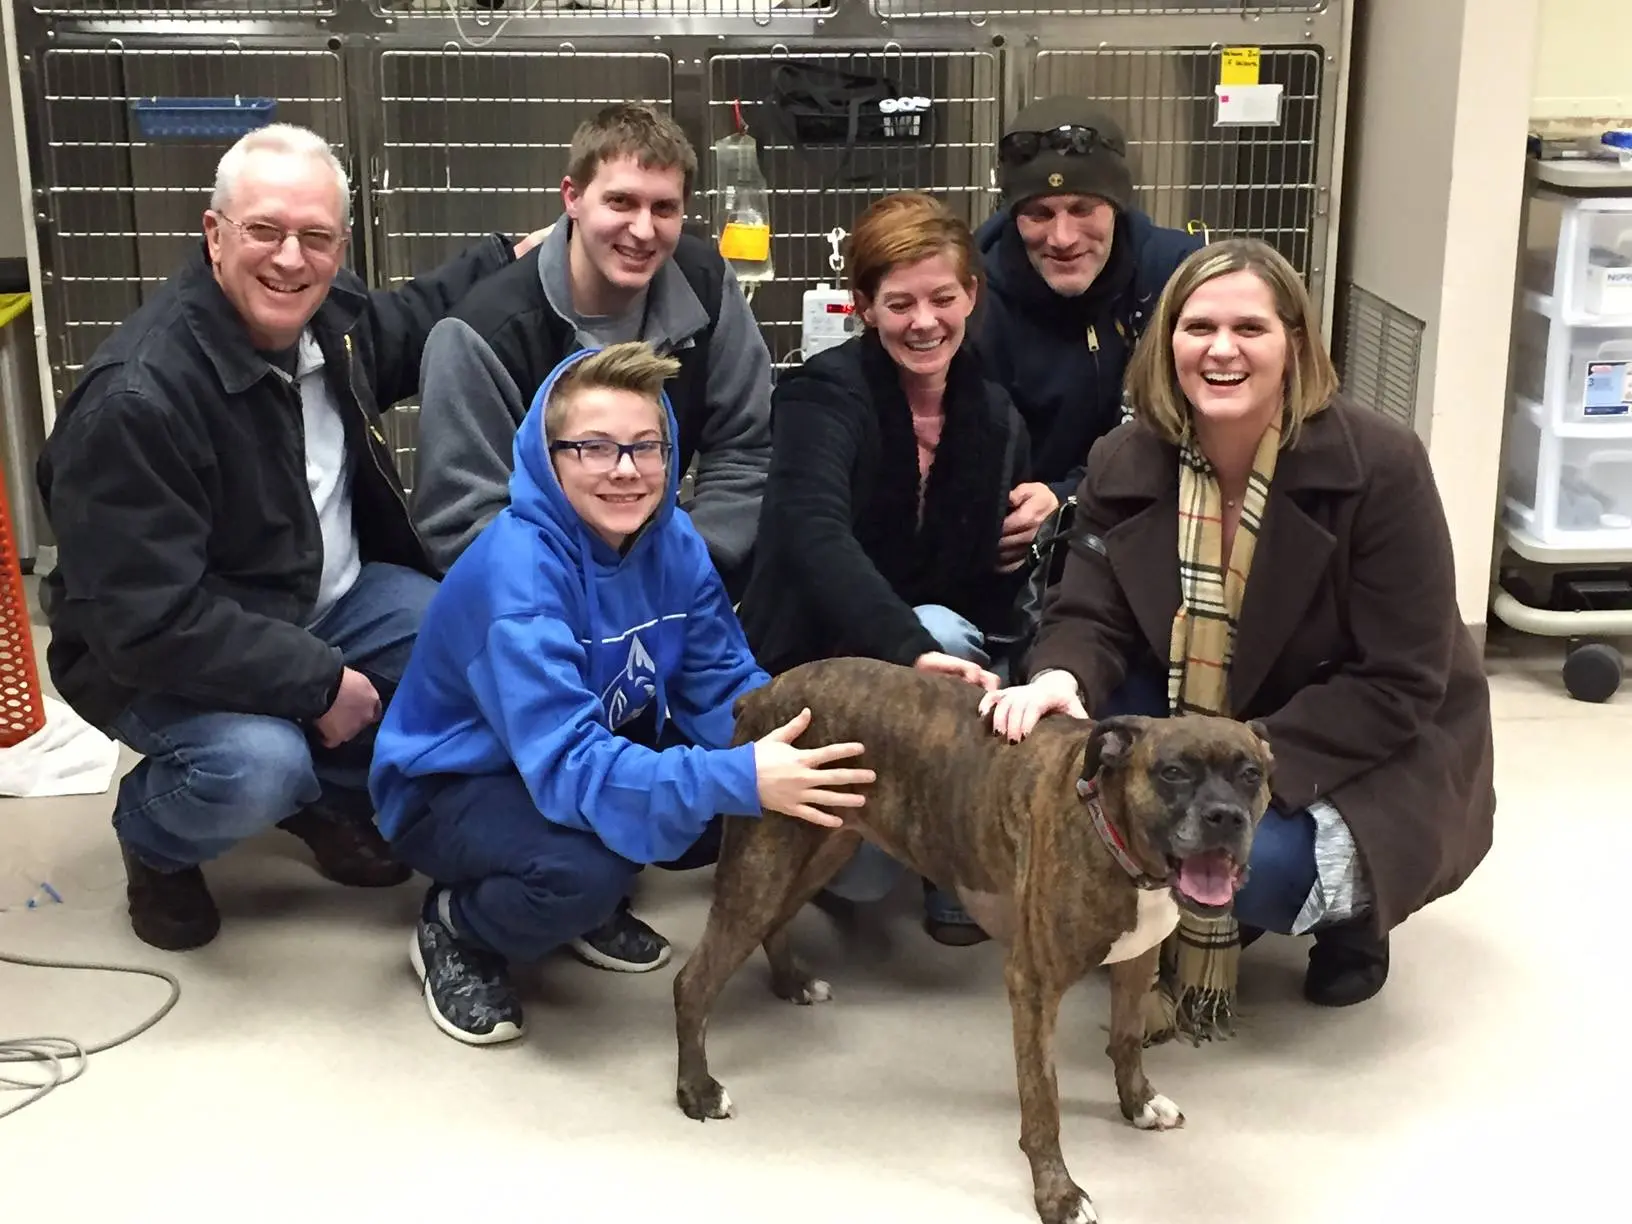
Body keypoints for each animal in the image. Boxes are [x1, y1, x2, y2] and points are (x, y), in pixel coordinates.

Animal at [669, 662, 1266, 1224]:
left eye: (1251, 775)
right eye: (1173, 773)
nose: (1225, 817)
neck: (1110, 827)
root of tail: (766, 691)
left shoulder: (1137, 960)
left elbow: (1125, 1040)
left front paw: (1138, 1102)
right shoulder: (1033, 987)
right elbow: (1043, 1102)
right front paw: (1058, 1196)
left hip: (822, 846)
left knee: (774, 923)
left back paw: (791, 982)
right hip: (764, 861)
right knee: (692, 982)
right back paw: (697, 1091)